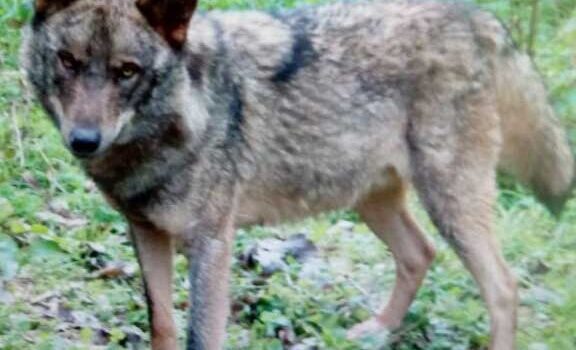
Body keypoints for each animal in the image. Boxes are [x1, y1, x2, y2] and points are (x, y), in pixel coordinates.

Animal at [21, 0, 572, 348]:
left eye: (127, 71)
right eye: (67, 61)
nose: (84, 140)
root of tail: (476, 17)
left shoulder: (212, 243)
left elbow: (202, 335)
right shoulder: (146, 231)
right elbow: (163, 325)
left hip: (450, 203)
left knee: (504, 288)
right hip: (372, 201)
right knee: (421, 253)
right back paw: (377, 331)